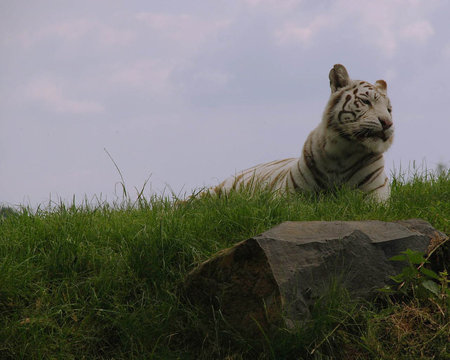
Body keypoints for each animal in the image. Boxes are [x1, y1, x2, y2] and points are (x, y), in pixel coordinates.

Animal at [208, 63, 394, 201]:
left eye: (389, 109)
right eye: (366, 101)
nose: (387, 123)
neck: (344, 154)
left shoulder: (376, 195)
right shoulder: (289, 195)